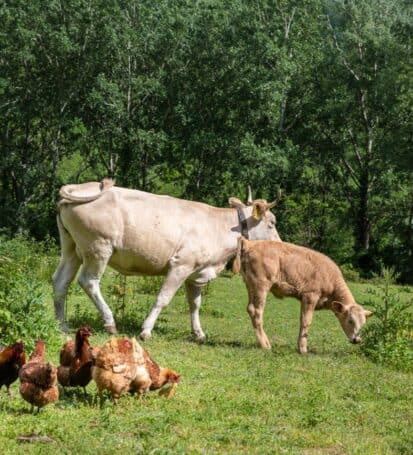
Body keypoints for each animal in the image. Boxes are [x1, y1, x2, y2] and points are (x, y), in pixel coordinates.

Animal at [51, 180, 280, 340]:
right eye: (272, 223)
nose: (279, 244)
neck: (219, 228)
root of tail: (78, 187)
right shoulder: (180, 265)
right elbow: (163, 298)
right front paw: (146, 330)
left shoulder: (196, 272)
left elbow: (195, 304)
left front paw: (198, 333)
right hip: (98, 248)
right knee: (89, 281)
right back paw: (109, 321)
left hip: (72, 249)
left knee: (60, 282)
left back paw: (62, 325)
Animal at [233, 237, 372, 354]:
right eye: (350, 320)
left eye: (364, 324)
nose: (357, 340)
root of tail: (250, 243)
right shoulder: (310, 296)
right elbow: (306, 321)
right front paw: (303, 349)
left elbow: (302, 320)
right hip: (261, 285)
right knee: (257, 311)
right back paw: (265, 345)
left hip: (250, 285)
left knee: (250, 309)